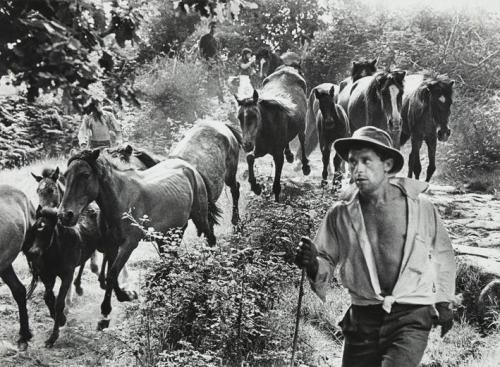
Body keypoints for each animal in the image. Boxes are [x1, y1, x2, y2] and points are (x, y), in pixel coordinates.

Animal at [25, 207, 98, 348]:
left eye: (48, 230)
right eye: (34, 228)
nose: (32, 253)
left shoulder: (66, 276)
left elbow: (59, 303)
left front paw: (53, 337)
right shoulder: (48, 276)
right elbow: (48, 298)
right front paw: (60, 319)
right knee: (83, 263)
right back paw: (78, 286)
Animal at [58, 150, 215, 330]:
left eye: (85, 174)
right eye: (65, 175)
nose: (65, 215)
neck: (121, 200)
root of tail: (190, 168)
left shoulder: (129, 245)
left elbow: (112, 274)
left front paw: (108, 310)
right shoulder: (112, 245)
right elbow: (111, 275)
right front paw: (123, 298)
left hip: (200, 218)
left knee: (210, 239)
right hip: (170, 233)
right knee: (170, 259)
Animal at [235, 67, 308, 204]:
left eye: (254, 116)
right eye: (239, 117)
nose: (246, 144)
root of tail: (287, 69)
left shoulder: (277, 155)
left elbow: (276, 181)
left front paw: (277, 197)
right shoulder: (259, 150)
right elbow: (250, 158)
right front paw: (255, 187)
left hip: (302, 126)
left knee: (302, 139)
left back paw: (306, 167)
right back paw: (289, 155)